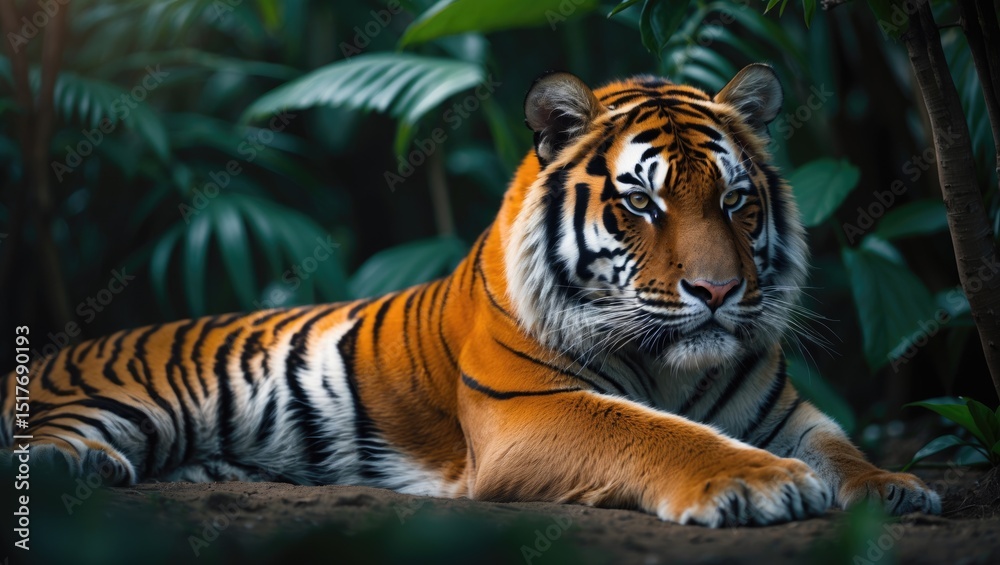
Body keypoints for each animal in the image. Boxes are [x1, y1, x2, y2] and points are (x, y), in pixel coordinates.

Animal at [2, 64, 941, 527]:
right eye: (642, 203)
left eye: (737, 200)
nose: (716, 289)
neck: (675, 365)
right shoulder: (533, 410)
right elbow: (659, 433)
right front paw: (758, 482)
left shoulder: (787, 410)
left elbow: (842, 448)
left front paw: (895, 484)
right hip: (126, 399)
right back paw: (85, 466)